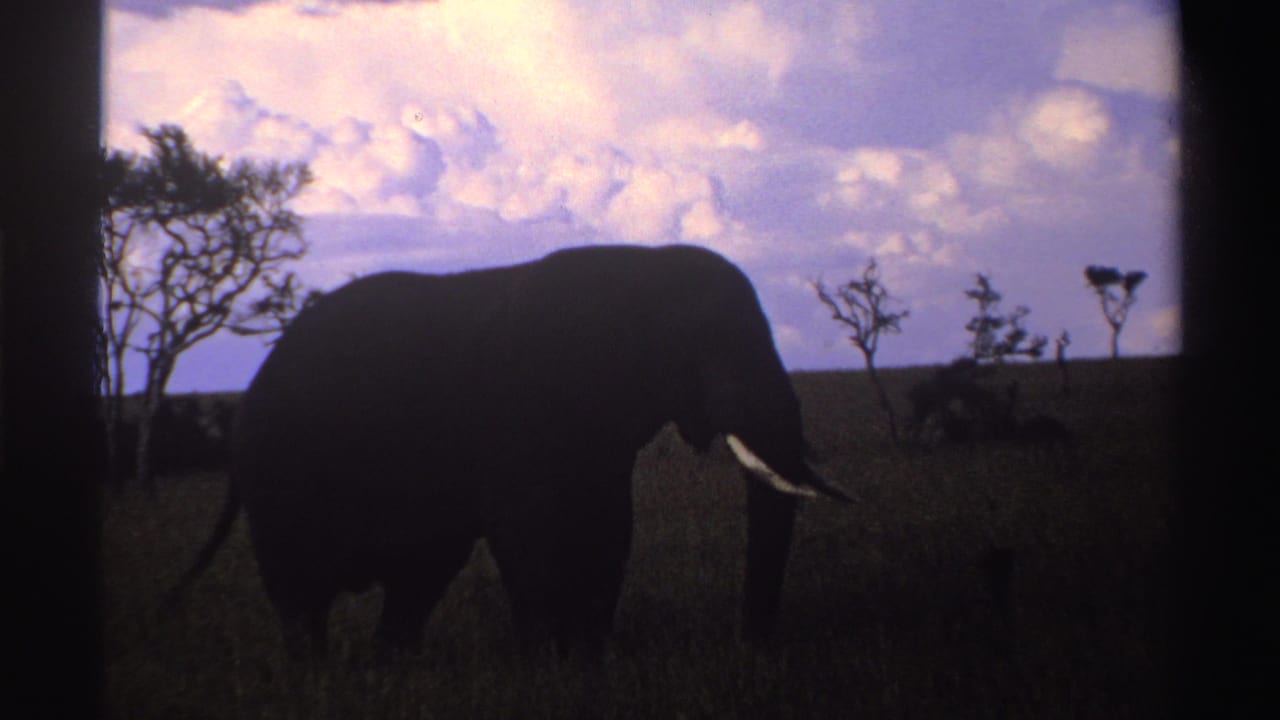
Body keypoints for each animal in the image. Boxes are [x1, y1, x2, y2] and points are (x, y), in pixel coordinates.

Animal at [167, 244, 851, 659]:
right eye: (707, 342)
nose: (751, 646)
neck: (643, 267)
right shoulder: (519, 411)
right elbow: (530, 534)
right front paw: (552, 665)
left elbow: (609, 529)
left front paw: (588, 661)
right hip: (279, 476)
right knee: (301, 590)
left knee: (418, 578)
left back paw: (392, 669)